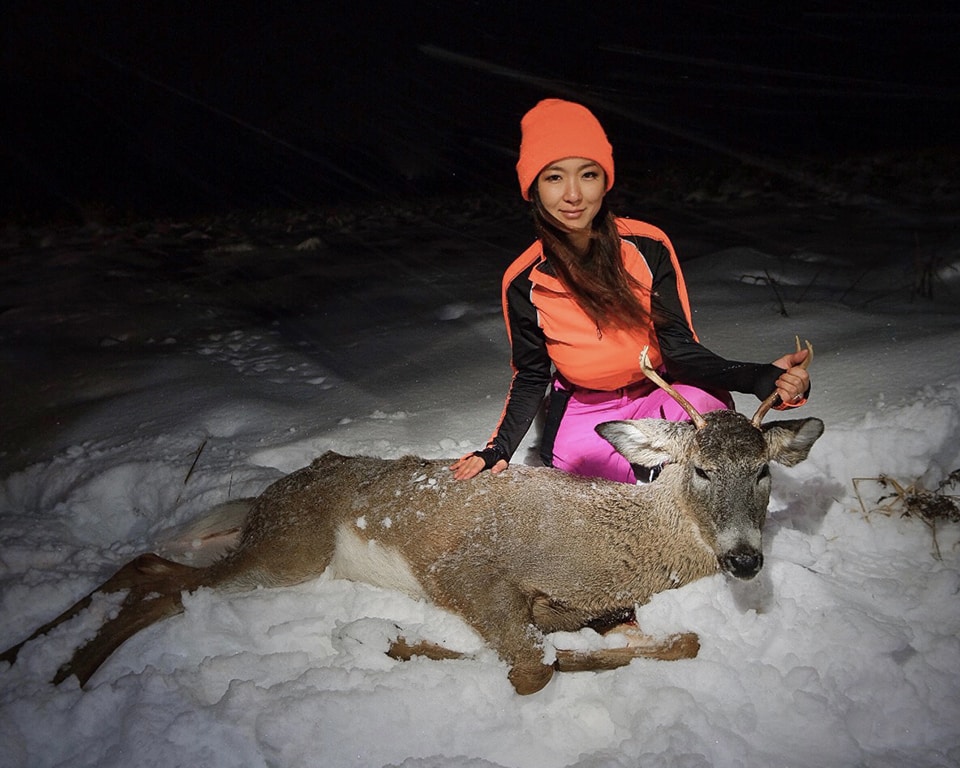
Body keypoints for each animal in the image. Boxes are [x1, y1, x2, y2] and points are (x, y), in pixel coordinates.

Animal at [1, 342, 824, 696]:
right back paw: (65, 670)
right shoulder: (464, 569)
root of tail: (273, 493)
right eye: (701, 469)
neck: (608, 545)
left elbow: (679, 641)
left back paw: (39, 658)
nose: (745, 559)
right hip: (290, 550)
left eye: (764, 470)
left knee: (147, 567)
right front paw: (388, 643)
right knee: (164, 579)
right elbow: (530, 668)